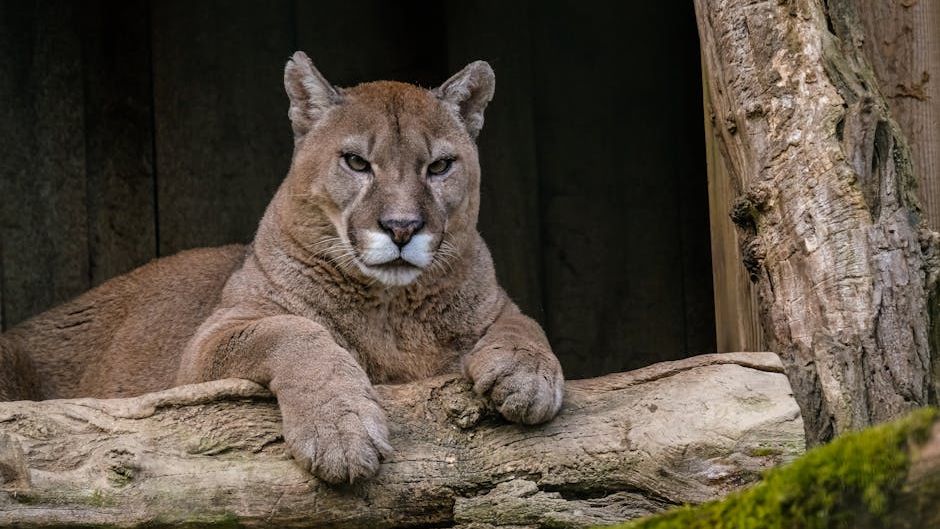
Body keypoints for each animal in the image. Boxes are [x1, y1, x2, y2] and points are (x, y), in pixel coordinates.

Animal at [0, 52, 565, 484]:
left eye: (441, 166)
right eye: (356, 162)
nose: (402, 227)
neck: (391, 308)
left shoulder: (495, 302)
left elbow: (524, 323)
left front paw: (529, 378)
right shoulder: (207, 346)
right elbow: (291, 330)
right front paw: (339, 429)